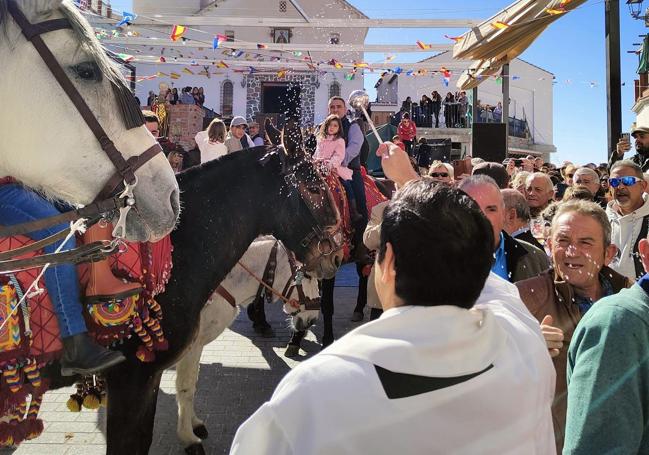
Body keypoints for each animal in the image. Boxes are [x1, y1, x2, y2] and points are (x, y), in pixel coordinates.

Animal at [176, 239, 320, 452]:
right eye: (308, 276)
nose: (313, 319)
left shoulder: (197, 346)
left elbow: (191, 383)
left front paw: (195, 424)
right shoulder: (190, 348)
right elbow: (185, 387)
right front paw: (189, 438)